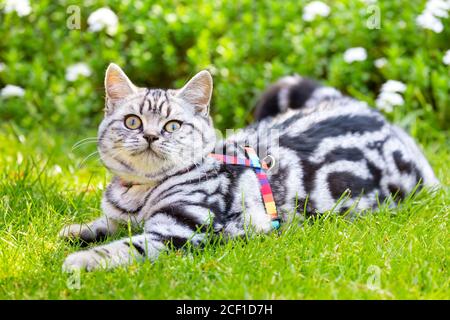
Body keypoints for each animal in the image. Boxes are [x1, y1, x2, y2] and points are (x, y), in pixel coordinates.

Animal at [59, 66, 436, 272]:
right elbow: (104, 225)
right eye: (133, 121)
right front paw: (76, 231)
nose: (151, 136)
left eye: (172, 126)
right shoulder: (122, 218)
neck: (138, 193)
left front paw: (82, 261)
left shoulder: (177, 232)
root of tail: (366, 109)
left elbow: (124, 247)